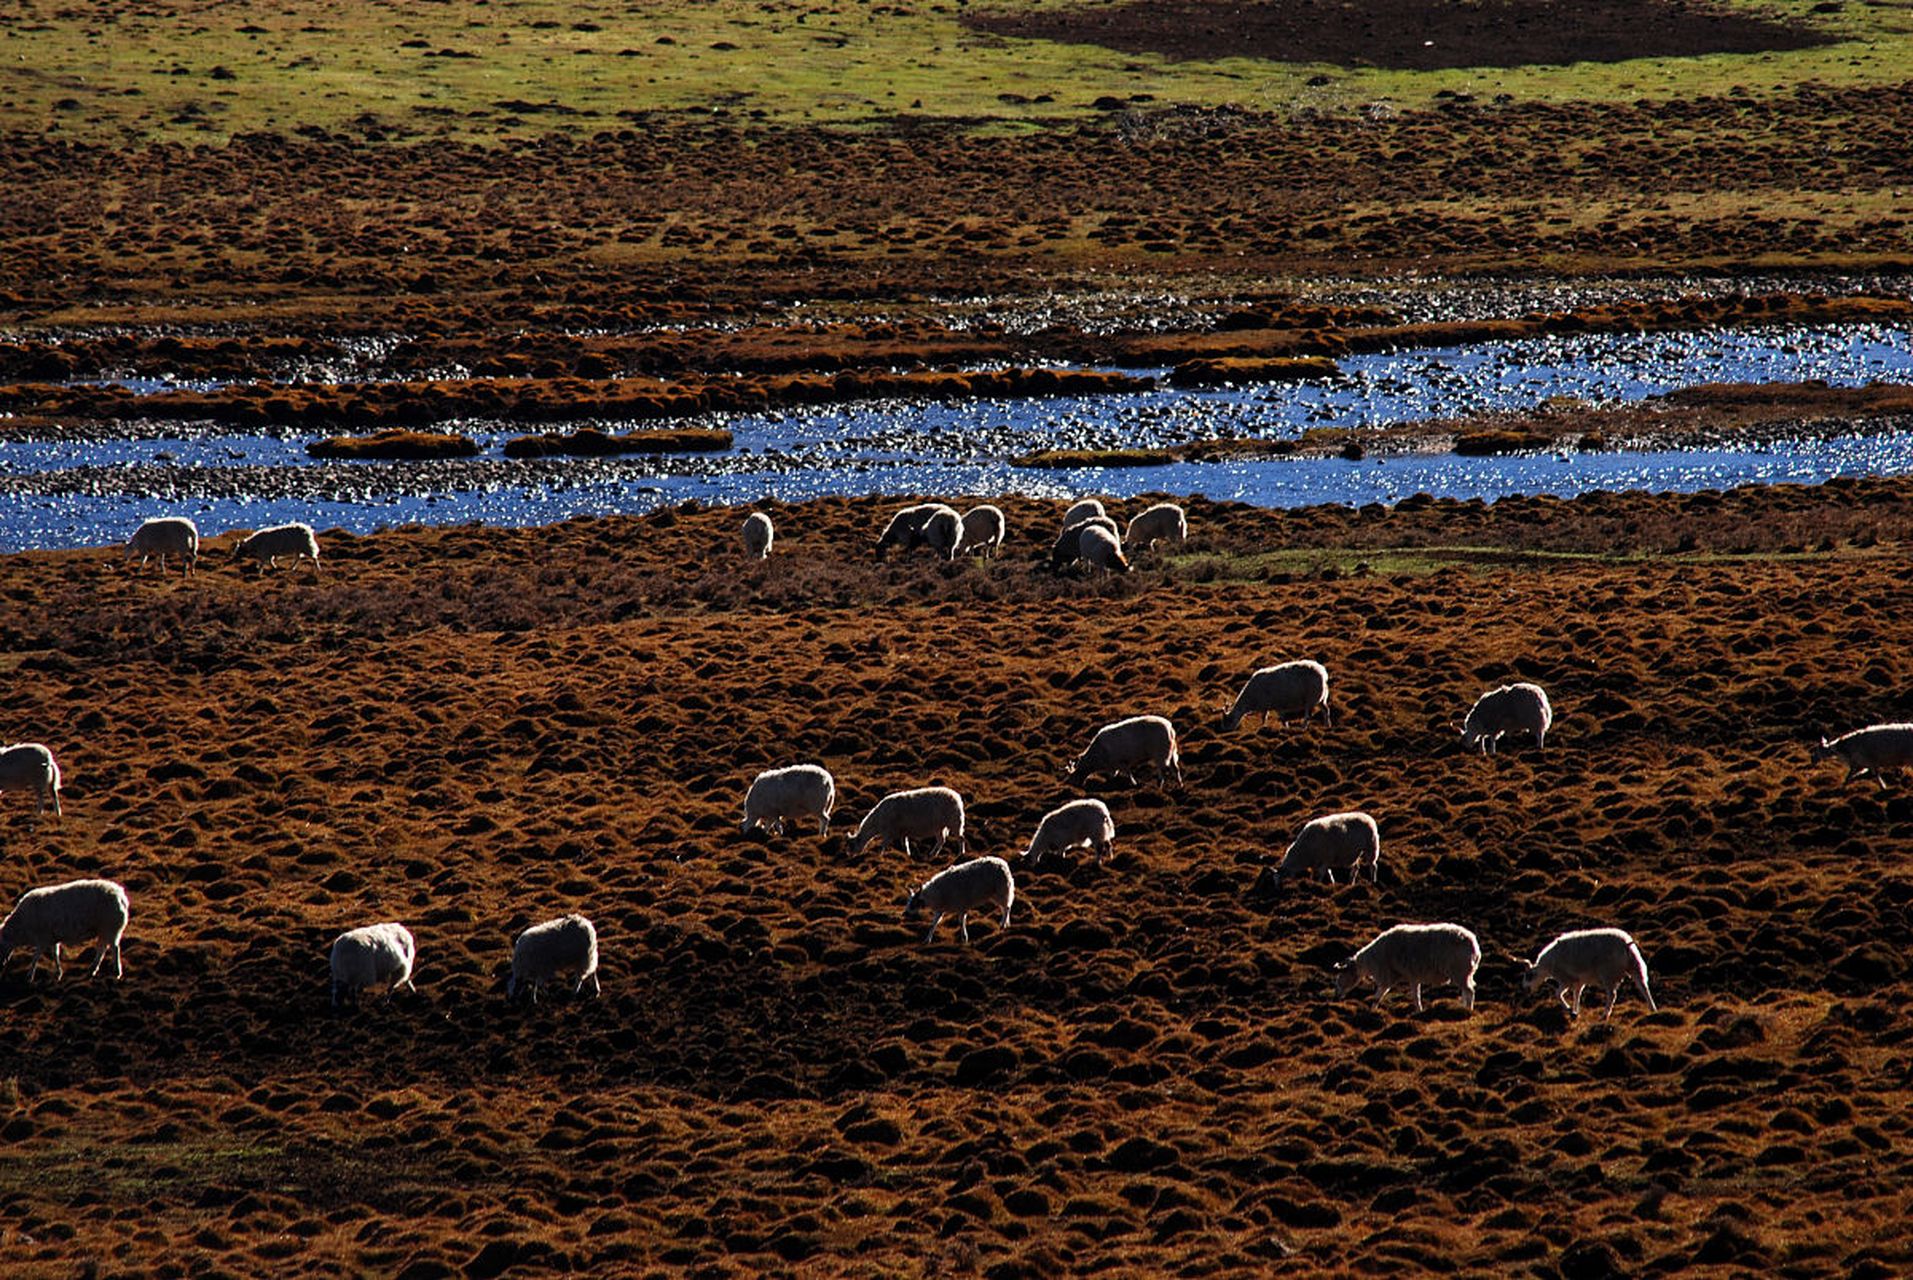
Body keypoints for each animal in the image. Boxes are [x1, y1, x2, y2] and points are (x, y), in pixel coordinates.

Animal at [0, 872, 128, 987]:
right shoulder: (52, 938)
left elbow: (36, 957)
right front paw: (58, 973)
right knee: (102, 948)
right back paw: (92, 969)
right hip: (103, 929)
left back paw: (117, 972)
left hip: (110, 927)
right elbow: (55, 954)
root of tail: (121, 896)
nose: (2, 963)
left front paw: (30, 976)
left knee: (114, 948)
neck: (21, 927)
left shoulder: (43, 938)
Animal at [1331, 922, 1476, 1010]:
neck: (1370, 961)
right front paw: (1419, 1011)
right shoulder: (1413, 977)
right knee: (1466, 991)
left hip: (1459, 970)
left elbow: (1377, 997)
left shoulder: (1387, 976)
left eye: (1341, 976)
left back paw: (1468, 1010)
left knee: (1469, 991)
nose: (1335, 997)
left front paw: (1372, 1011)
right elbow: (1416, 997)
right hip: (1464, 973)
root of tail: (1474, 946)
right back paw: (1463, 1007)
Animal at [1515, 929, 1652, 1017]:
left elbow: (1557, 994)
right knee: (1643, 987)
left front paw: (1570, 1010)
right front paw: (1576, 1011)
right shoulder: (1579, 981)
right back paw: (1653, 1009)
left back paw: (1605, 1015)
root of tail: (1626, 944)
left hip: (1608, 973)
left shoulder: (1566, 979)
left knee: (1612, 995)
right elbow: (1577, 995)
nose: (1524, 988)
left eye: (1529, 976)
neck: (1547, 966)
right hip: (1635, 965)